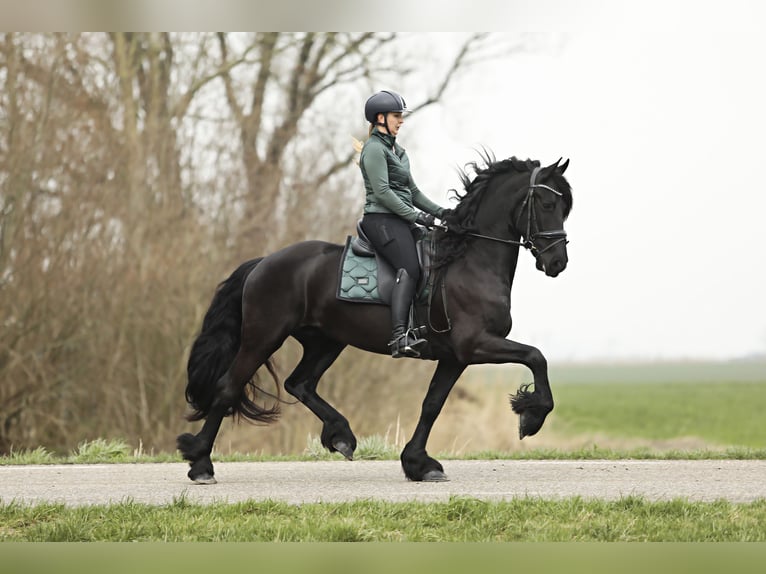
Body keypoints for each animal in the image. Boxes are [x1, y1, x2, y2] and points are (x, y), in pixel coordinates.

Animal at [180, 155, 572, 484]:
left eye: (565, 208)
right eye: (548, 205)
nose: (558, 263)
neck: (467, 259)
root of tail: (263, 262)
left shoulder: (454, 356)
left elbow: (432, 405)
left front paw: (419, 464)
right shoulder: (475, 344)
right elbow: (536, 356)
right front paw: (531, 416)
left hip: (326, 341)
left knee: (300, 384)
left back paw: (341, 436)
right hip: (263, 337)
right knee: (228, 387)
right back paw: (201, 464)